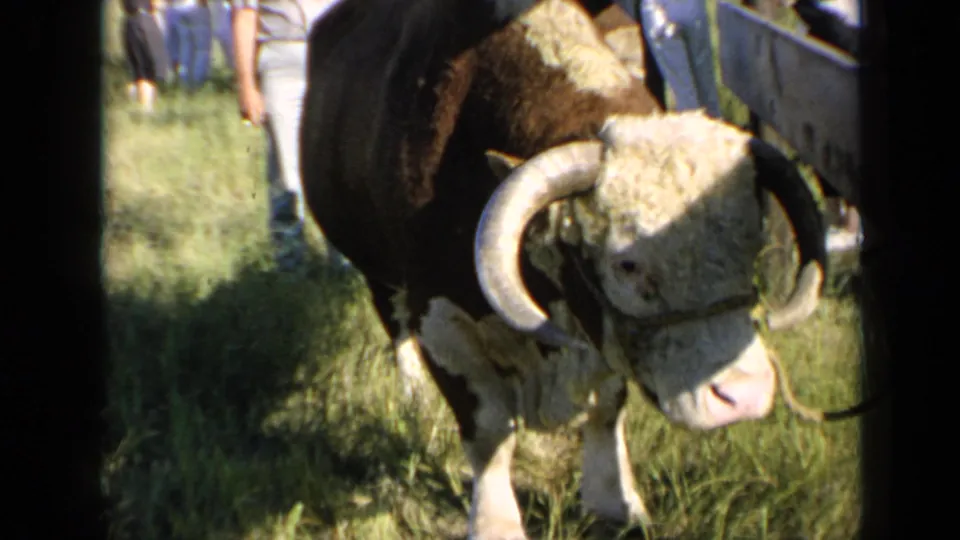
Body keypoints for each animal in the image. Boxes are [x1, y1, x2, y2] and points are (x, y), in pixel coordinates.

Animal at [300, 1, 827, 538]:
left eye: (752, 244)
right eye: (627, 264)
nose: (744, 395)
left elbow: (606, 410)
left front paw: (615, 502)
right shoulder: (441, 322)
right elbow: (489, 432)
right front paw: (495, 523)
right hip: (378, 274)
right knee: (396, 328)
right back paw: (413, 399)